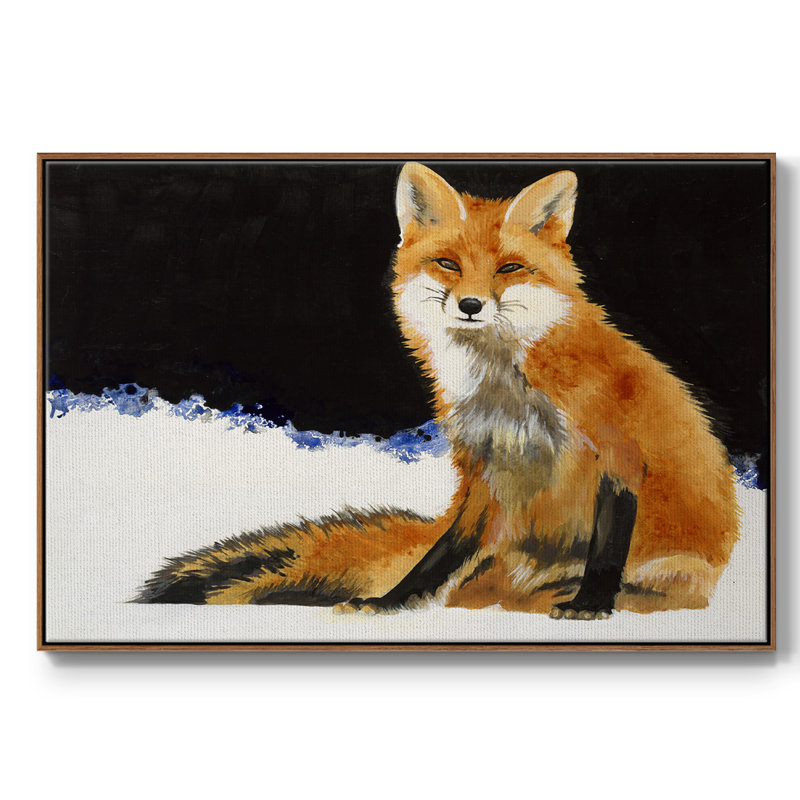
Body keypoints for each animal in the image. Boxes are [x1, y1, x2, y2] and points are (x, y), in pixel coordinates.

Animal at [136, 163, 740, 619]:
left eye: (510, 268)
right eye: (448, 263)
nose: (471, 305)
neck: (507, 389)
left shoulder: (617, 452)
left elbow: (607, 546)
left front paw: (591, 604)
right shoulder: (483, 469)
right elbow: (440, 555)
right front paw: (391, 602)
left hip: (675, 571)